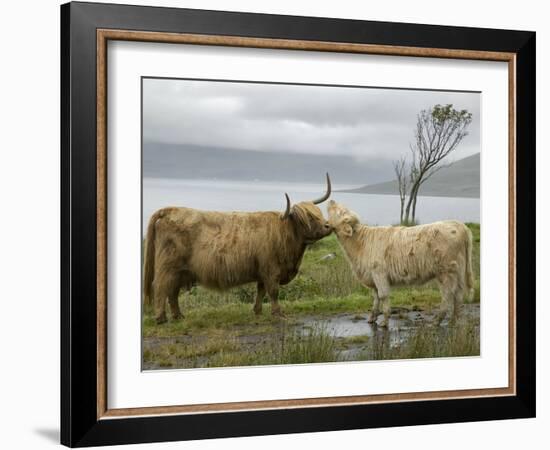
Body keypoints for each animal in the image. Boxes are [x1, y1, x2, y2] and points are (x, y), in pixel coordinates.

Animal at [328, 201, 474, 326]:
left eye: (340, 211)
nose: (331, 201)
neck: (360, 244)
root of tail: (458, 224)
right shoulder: (372, 276)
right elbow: (375, 298)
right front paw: (372, 318)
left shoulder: (379, 273)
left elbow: (383, 296)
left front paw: (384, 322)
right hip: (458, 271)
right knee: (458, 294)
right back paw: (454, 320)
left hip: (445, 271)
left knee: (448, 295)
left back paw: (436, 321)